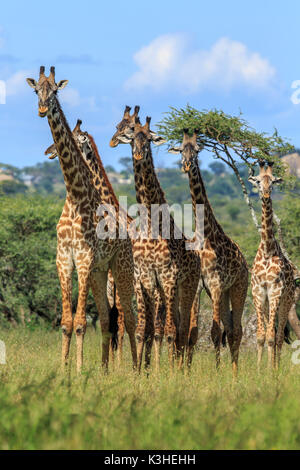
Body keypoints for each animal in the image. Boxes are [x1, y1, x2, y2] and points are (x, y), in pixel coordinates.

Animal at [26, 67, 137, 374]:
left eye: (55, 91)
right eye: (36, 90)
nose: (42, 109)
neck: (75, 195)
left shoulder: (84, 258)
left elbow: (79, 323)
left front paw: (76, 370)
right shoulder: (64, 258)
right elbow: (65, 323)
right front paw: (64, 370)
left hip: (121, 269)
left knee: (130, 319)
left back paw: (139, 370)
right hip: (101, 273)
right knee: (108, 319)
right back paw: (105, 369)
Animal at [109, 108, 200, 370]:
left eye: (149, 138)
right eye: (131, 134)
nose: (138, 152)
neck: (151, 225)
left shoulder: (168, 278)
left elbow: (169, 331)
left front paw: (166, 373)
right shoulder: (145, 278)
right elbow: (144, 330)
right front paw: (141, 370)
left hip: (188, 287)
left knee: (183, 329)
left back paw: (181, 370)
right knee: (176, 326)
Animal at [169, 129, 248, 374]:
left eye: (196, 150)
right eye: (180, 149)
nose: (186, 165)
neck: (204, 236)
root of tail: (245, 262)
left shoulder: (215, 283)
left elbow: (214, 332)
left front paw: (217, 372)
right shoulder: (200, 286)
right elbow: (193, 331)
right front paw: (185, 370)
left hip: (238, 287)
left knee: (236, 330)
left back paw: (234, 374)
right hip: (223, 294)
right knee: (230, 329)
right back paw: (232, 370)